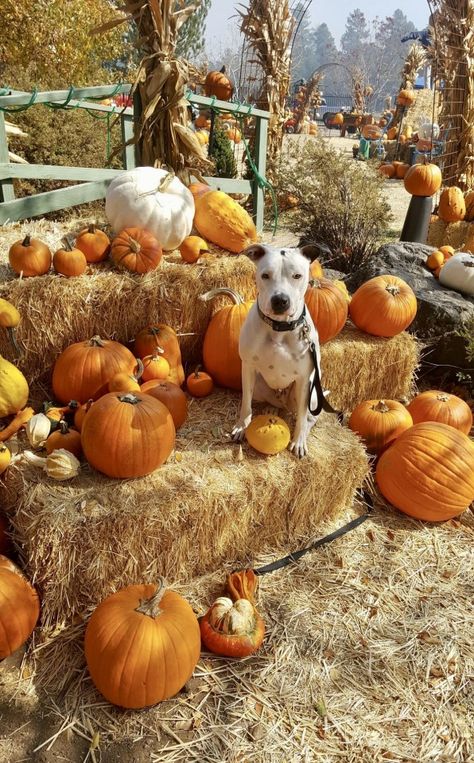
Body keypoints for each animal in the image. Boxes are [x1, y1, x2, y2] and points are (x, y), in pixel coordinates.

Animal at [231, 246, 336, 460]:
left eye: (297, 276)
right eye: (265, 275)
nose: (280, 300)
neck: (280, 328)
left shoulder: (304, 379)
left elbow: (303, 417)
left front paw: (298, 441)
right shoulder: (248, 368)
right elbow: (246, 403)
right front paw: (242, 426)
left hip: (312, 393)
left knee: (310, 417)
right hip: (260, 385)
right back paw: (272, 408)